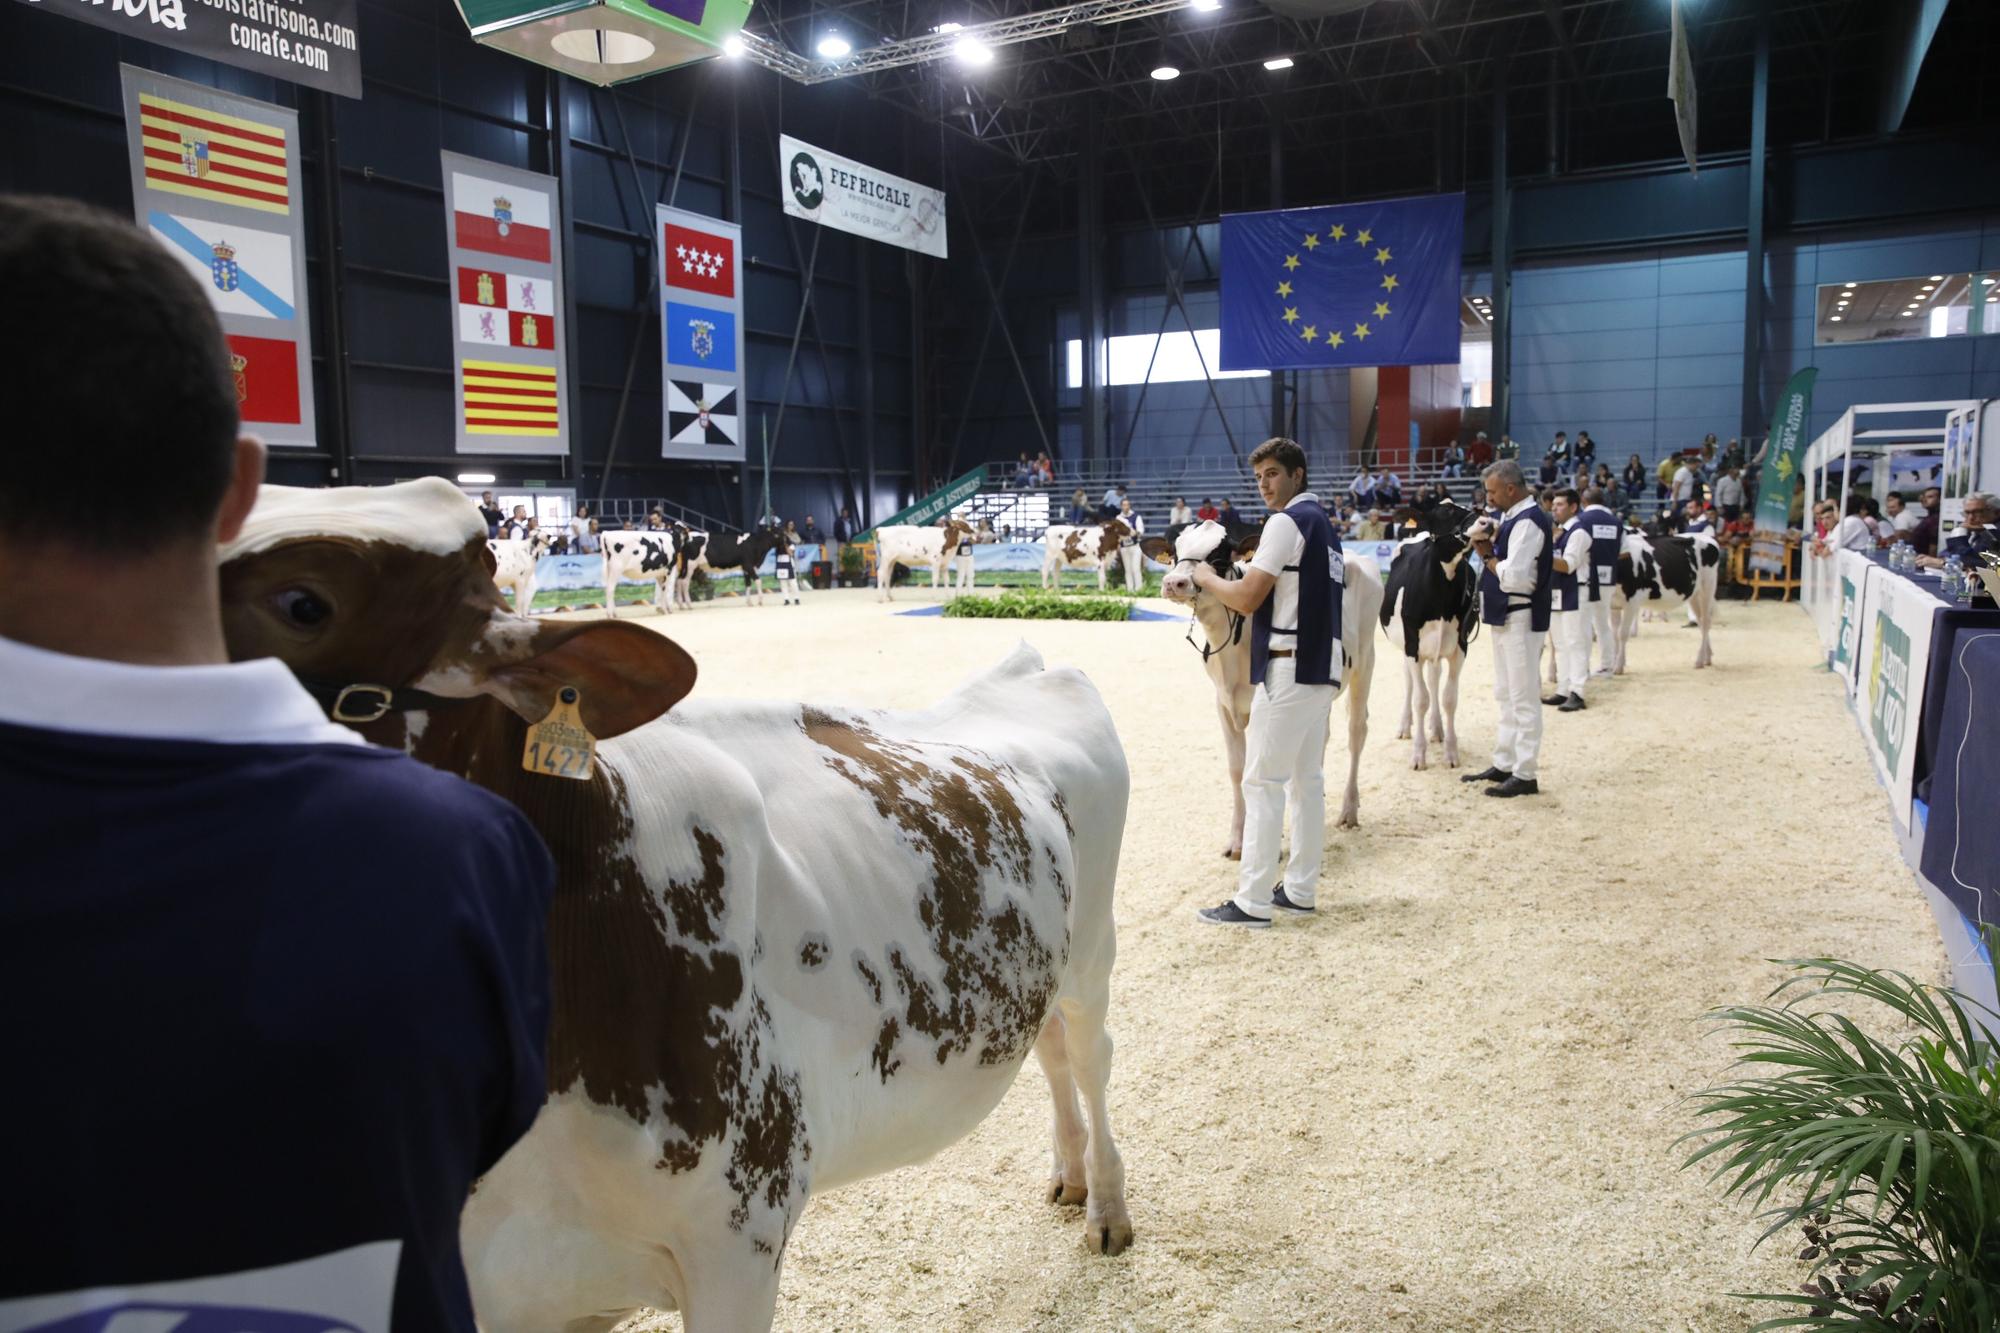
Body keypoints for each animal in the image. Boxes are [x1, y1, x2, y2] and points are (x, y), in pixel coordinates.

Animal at [217, 482, 1136, 1328]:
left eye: (303, 604)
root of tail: (1027, 663)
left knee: (1090, 1057)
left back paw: (1107, 1208)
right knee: (1051, 1048)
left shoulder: (739, 1234)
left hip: (1094, 947)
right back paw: (1069, 1175)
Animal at [1376, 498, 1488, 768]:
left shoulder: (1460, 646)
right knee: (1410, 682)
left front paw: (1451, 753)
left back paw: (1437, 729)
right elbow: (1420, 699)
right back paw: (1405, 726)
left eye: (1472, 507)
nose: (1486, 521)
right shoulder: (1412, 645)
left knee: (1434, 678)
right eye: (1447, 511)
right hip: (1406, 646)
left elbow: (1449, 698)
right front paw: (1418, 755)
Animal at [1608, 528, 1720, 668]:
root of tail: (1707, 538)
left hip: (1707, 588)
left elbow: (1622, 634)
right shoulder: (1613, 604)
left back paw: (1699, 661)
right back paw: (1707, 657)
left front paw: (1619, 666)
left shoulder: (1631, 602)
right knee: (1701, 621)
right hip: (1694, 594)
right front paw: (1614, 663)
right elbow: (1614, 634)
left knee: (1705, 622)